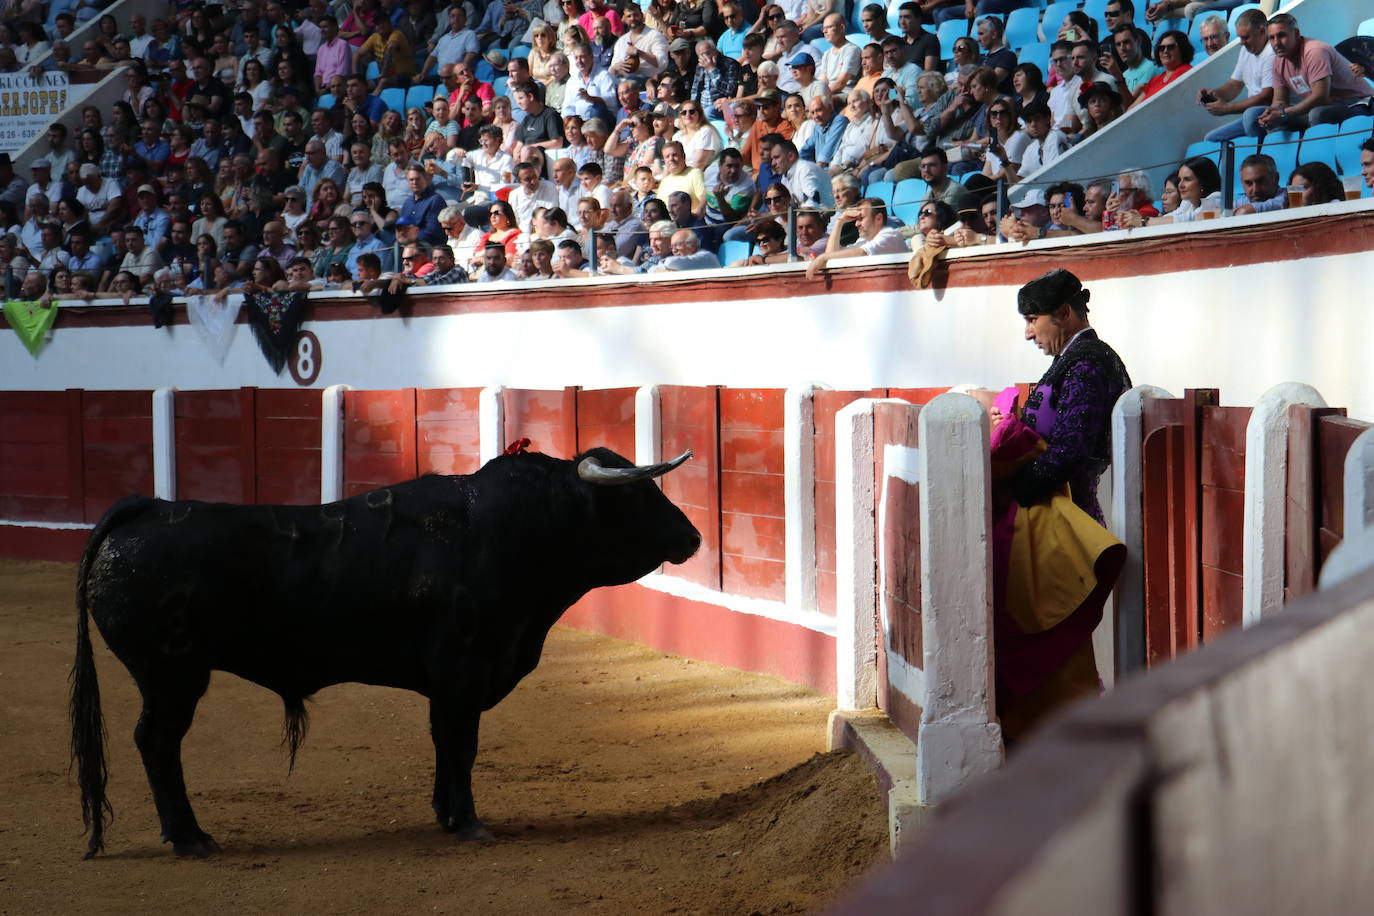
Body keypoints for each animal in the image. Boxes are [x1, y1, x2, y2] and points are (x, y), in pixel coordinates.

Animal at [71, 447, 703, 856]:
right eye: (638, 493)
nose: (694, 537)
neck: (513, 531)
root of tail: (148, 506)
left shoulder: (448, 684)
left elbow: (445, 744)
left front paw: (446, 815)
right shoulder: (462, 673)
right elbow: (462, 745)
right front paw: (469, 823)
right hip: (172, 674)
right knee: (157, 742)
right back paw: (191, 838)